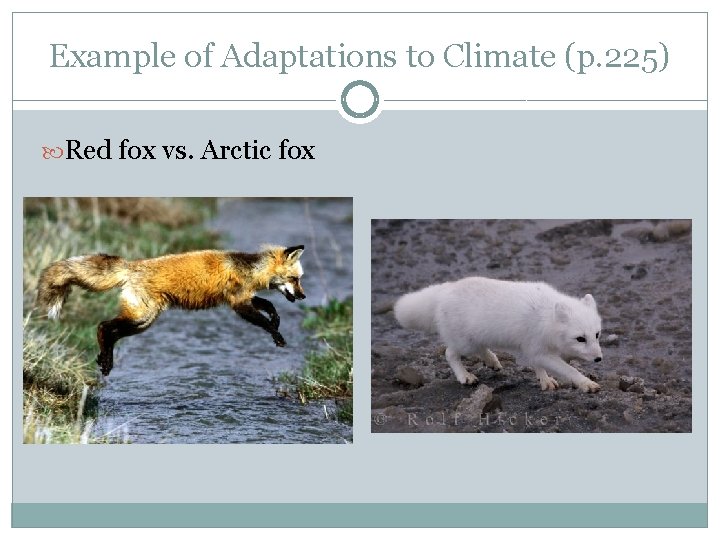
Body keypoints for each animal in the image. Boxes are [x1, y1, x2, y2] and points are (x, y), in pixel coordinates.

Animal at [36, 245, 306, 376]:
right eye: (294, 279)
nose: (303, 296)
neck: (248, 269)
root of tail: (132, 265)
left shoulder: (243, 298)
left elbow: (270, 306)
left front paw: (277, 320)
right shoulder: (238, 303)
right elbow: (265, 321)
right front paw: (277, 335)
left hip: (143, 322)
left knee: (111, 332)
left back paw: (105, 359)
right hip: (142, 316)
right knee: (103, 326)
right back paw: (106, 361)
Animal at [394, 276, 603, 393]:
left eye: (597, 334)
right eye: (580, 339)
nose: (599, 359)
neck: (546, 318)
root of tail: (445, 289)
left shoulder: (532, 348)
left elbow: (537, 365)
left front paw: (545, 380)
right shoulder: (538, 349)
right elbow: (569, 370)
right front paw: (587, 384)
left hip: (476, 338)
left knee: (481, 348)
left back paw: (492, 361)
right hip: (464, 343)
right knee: (449, 353)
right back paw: (465, 376)